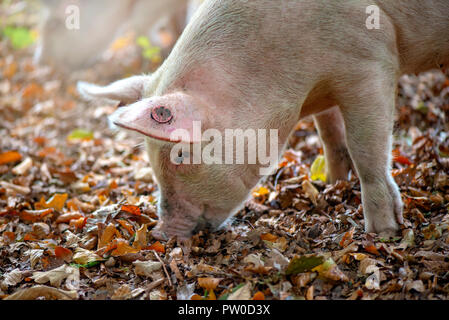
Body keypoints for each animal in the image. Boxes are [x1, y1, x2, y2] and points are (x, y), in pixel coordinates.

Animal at [77, 0, 448, 240]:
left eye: (181, 155)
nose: (159, 233)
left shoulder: (370, 61)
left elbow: (366, 150)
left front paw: (383, 232)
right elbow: (329, 133)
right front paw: (332, 183)